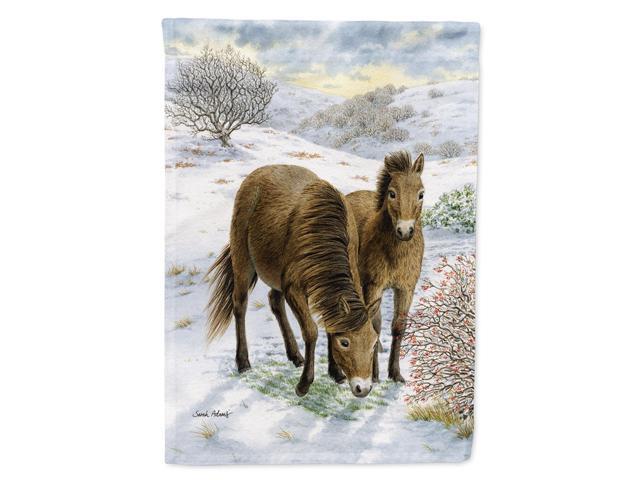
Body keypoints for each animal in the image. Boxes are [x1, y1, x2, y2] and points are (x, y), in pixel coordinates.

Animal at [206, 164, 380, 398]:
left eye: (373, 343)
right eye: (345, 343)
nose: (363, 388)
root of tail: (258, 173)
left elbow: (329, 323)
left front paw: (335, 373)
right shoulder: (293, 289)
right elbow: (311, 331)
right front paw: (304, 384)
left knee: (274, 301)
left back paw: (295, 356)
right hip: (243, 261)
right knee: (239, 304)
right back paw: (243, 362)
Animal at [340, 151, 425, 383]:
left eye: (421, 194)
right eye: (392, 193)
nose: (405, 231)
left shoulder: (406, 289)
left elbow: (398, 327)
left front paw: (395, 374)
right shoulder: (373, 286)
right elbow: (374, 325)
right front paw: (375, 374)